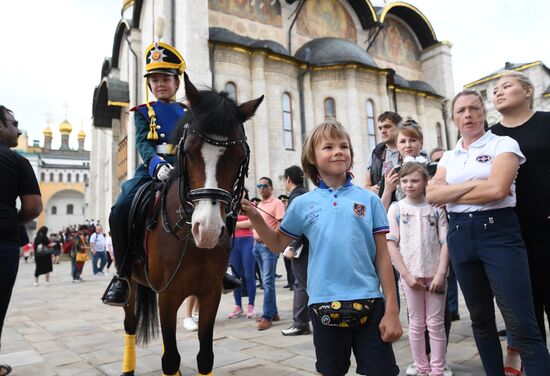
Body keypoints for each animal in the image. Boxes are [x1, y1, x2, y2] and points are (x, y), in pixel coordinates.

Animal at [122, 74, 264, 376]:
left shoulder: (210, 294)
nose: (207, 230)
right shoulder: (167, 297)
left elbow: (205, 356)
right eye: (187, 151)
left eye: (239, 156)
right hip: (130, 284)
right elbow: (170, 359)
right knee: (130, 325)